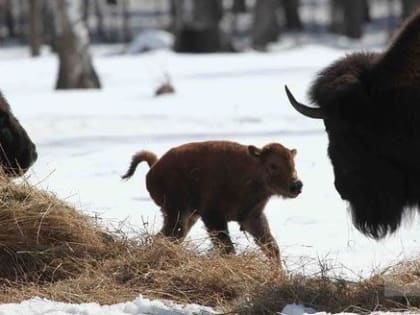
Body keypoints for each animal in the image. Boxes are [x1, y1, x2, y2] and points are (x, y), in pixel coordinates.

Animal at [121, 141, 302, 262]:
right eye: (273, 165)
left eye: (293, 163)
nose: (296, 185)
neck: (251, 172)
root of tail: (154, 167)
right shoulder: (213, 217)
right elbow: (228, 249)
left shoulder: (252, 217)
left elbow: (272, 247)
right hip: (178, 213)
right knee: (167, 236)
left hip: (188, 216)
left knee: (165, 237)